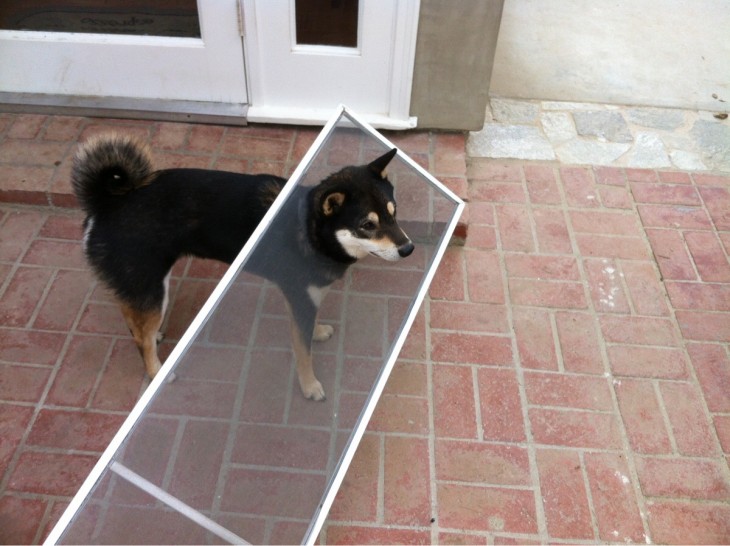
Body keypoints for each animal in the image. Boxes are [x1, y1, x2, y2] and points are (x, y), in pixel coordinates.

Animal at [71, 133, 412, 400]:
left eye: (394, 213)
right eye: (367, 225)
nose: (408, 248)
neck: (310, 231)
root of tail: (107, 202)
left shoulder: (302, 298)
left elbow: (306, 328)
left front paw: (317, 332)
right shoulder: (301, 298)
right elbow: (303, 352)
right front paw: (310, 386)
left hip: (144, 284)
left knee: (132, 317)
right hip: (152, 287)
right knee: (140, 336)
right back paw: (157, 371)